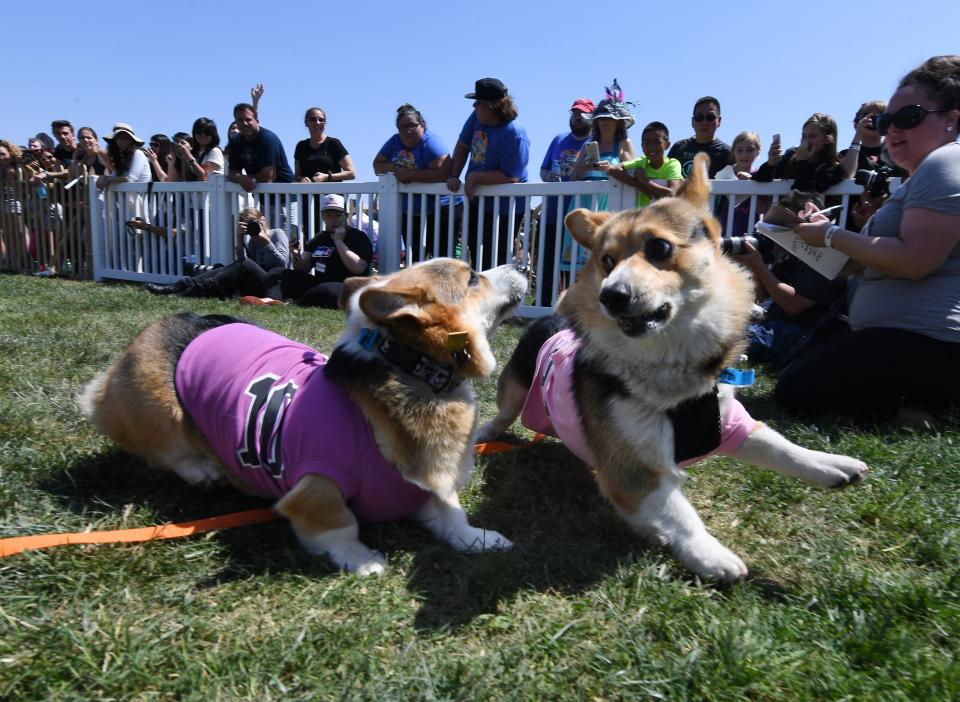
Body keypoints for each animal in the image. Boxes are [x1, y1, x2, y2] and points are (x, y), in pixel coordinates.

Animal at [81, 260, 528, 576]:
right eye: (472, 278)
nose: (524, 266)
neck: (412, 368)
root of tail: (178, 319)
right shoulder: (315, 489)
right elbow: (340, 526)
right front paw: (362, 560)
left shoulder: (430, 486)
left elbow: (452, 514)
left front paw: (479, 539)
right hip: (158, 410)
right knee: (161, 451)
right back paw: (202, 471)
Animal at [480, 157, 872, 584]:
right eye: (607, 262)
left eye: (660, 247)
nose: (609, 296)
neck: (673, 360)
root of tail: (552, 318)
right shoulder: (635, 473)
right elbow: (681, 516)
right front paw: (713, 556)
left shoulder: (731, 424)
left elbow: (782, 448)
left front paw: (834, 466)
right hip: (516, 388)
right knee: (505, 411)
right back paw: (487, 432)